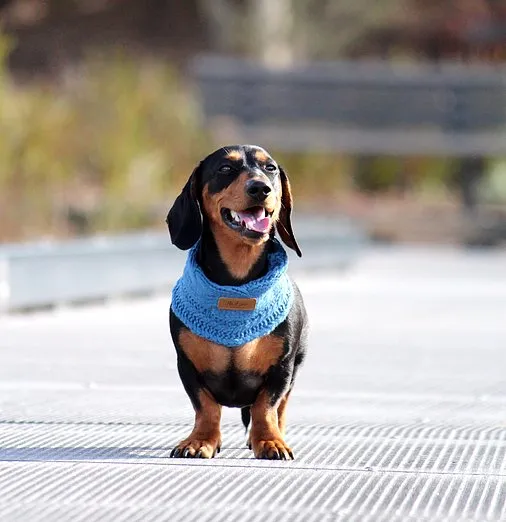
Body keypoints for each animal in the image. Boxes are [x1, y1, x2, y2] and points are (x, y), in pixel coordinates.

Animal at [168, 143, 306, 460]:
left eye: (270, 168)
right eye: (225, 168)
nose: (260, 188)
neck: (237, 284)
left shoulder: (282, 368)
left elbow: (265, 407)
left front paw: (269, 441)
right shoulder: (187, 366)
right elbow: (206, 407)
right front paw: (200, 441)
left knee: (280, 408)